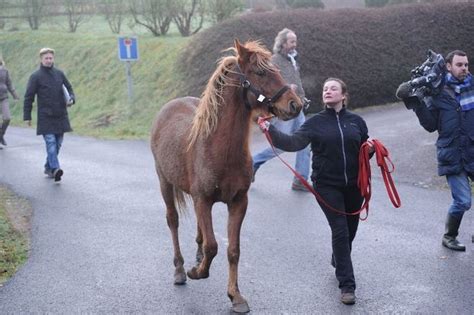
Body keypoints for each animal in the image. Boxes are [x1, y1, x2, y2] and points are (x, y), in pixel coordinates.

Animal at [150, 40, 302, 314]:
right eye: (260, 72)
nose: (296, 104)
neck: (218, 148)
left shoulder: (238, 202)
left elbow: (233, 249)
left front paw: (236, 296)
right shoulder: (203, 199)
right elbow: (213, 246)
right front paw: (196, 272)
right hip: (164, 183)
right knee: (173, 221)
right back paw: (180, 269)